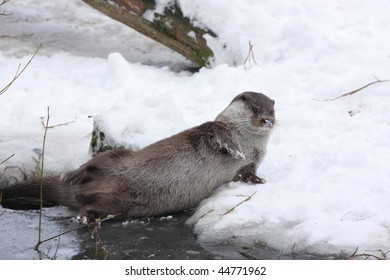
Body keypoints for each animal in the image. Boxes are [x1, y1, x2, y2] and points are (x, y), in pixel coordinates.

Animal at [0, 91, 276, 223]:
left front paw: (260, 181)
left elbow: (248, 173)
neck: (248, 141)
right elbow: (219, 135)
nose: (267, 120)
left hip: (118, 206)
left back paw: (84, 216)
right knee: (95, 163)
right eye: (255, 109)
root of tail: (79, 192)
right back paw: (73, 175)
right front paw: (234, 150)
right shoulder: (215, 128)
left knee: (93, 207)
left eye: (272, 110)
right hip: (117, 157)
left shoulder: (252, 162)